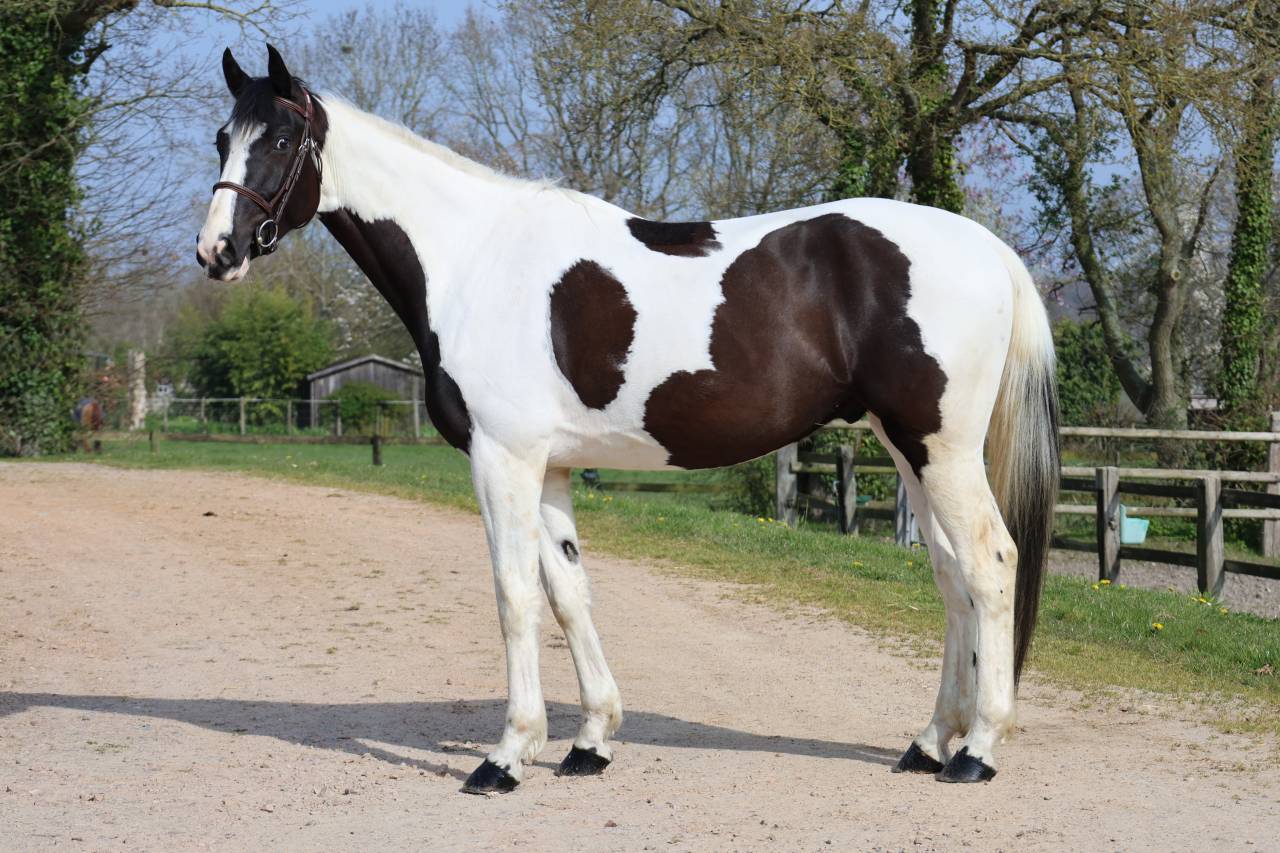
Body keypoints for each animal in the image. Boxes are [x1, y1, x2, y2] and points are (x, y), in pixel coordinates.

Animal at [196, 46, 1059, 791]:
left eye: (281, 138)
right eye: (222, 139)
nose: (217, 252)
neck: (474, 260)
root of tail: (991, 249)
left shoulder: (502, 457)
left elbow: (513, 593)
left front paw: (506, 755)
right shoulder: (548, 466)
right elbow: (568, 592)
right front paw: (589, 740)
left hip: (941, 450)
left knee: (990, 564)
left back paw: (976, 750)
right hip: (910, 449)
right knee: (950, 574)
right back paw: (929, 741)